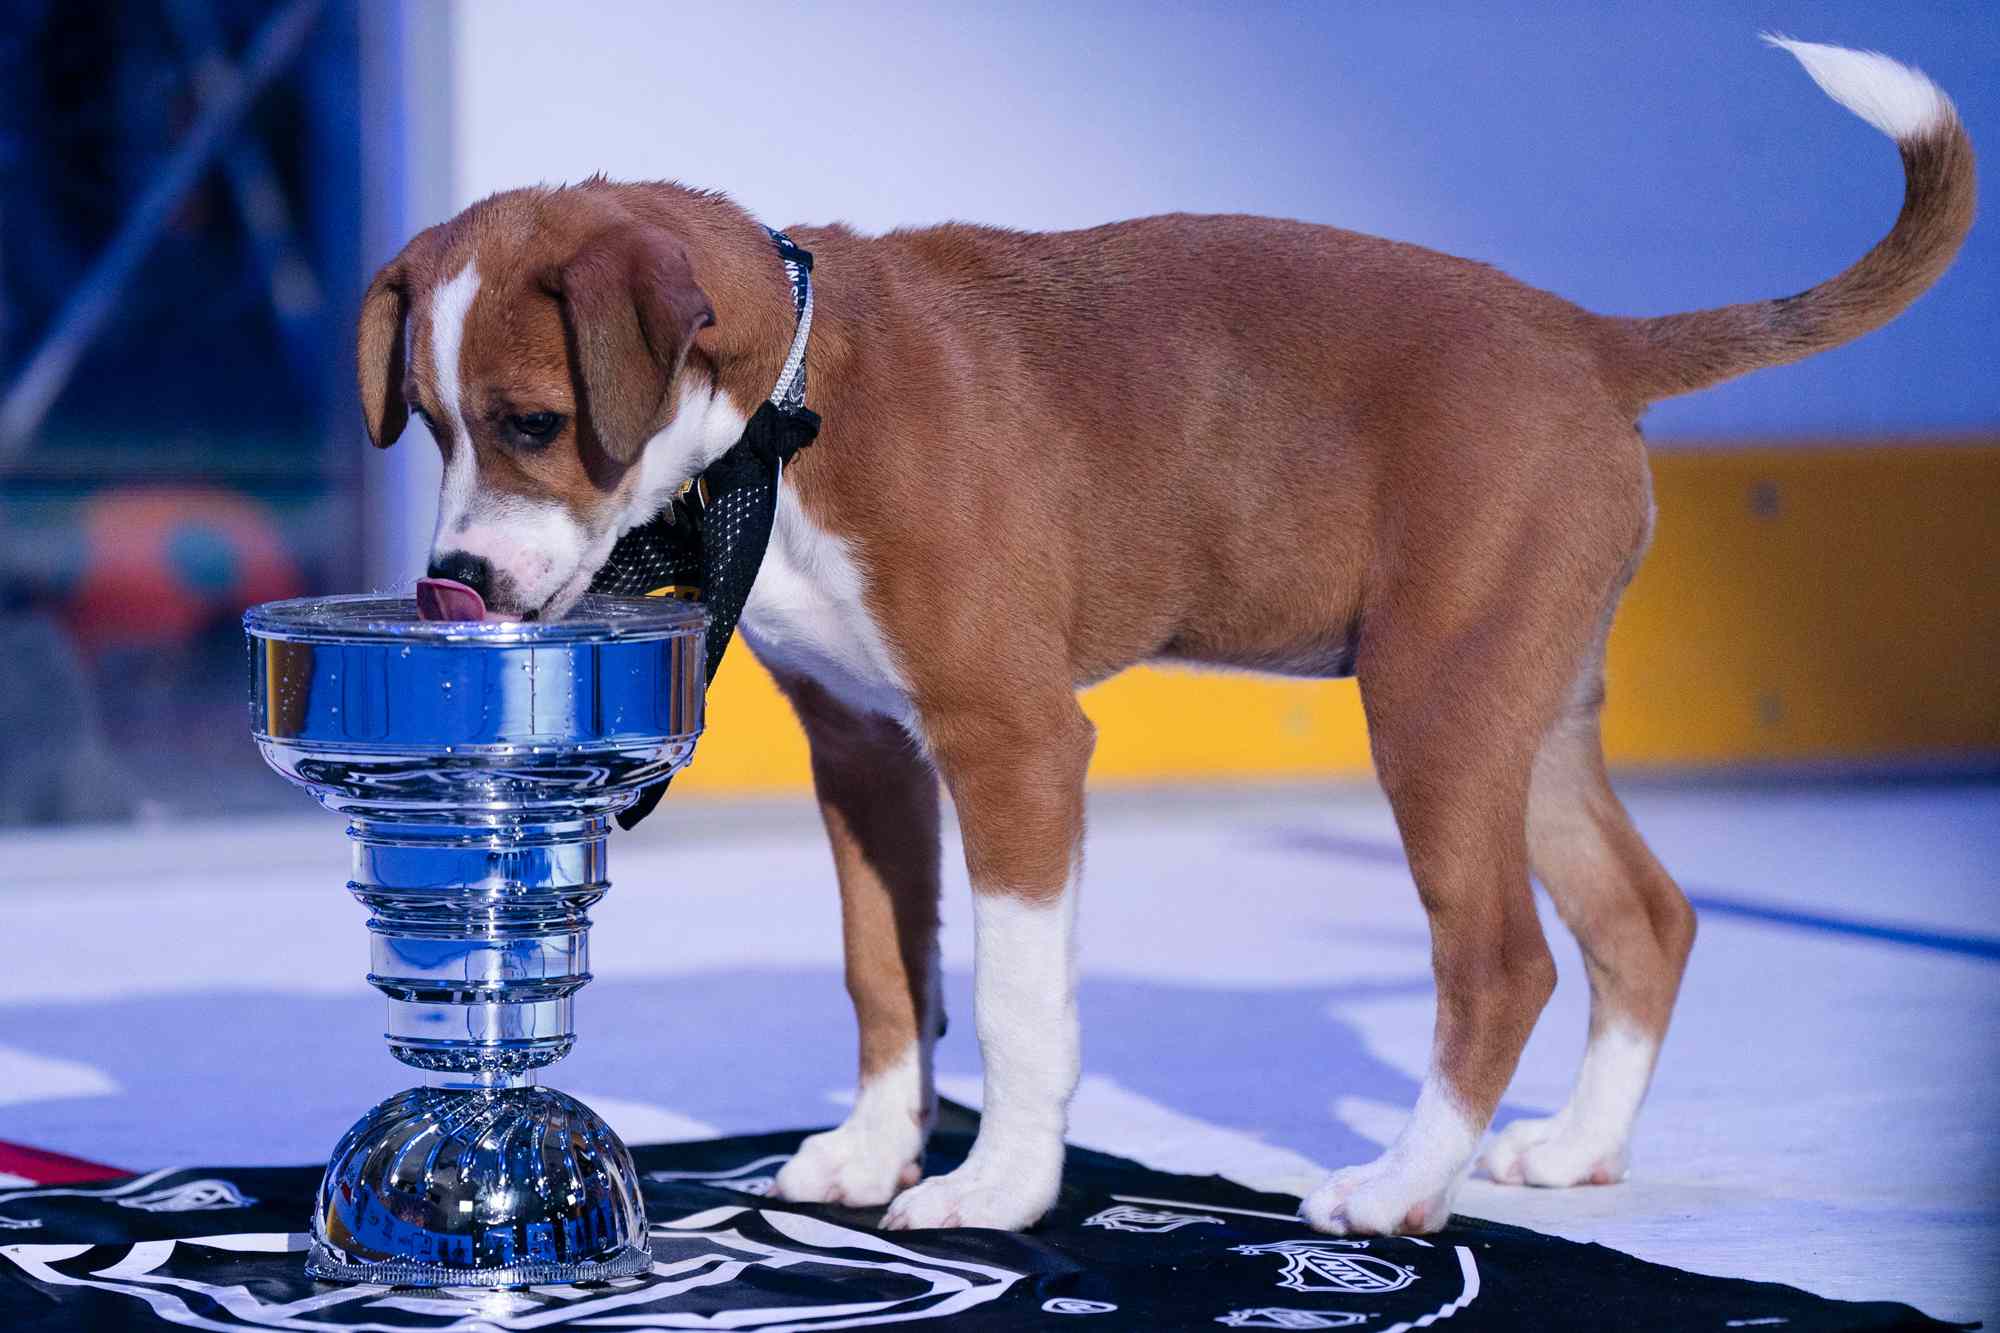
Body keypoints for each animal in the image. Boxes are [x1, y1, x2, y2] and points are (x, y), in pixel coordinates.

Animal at [356, 39, 1968, 1224]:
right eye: (426, 424)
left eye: (531, 422)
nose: (455, 586)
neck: (795, 411)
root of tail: (1585, 335)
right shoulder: (867, 754)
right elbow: (886, 973)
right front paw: (872, 1153)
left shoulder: (1011, 745)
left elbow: (1013, 1001)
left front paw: (996, 1190)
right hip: (1531, 712)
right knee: (1643, 917)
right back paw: (1572, 1150)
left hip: (1434, 710)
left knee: (1504, 961)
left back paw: (1398, 1190)